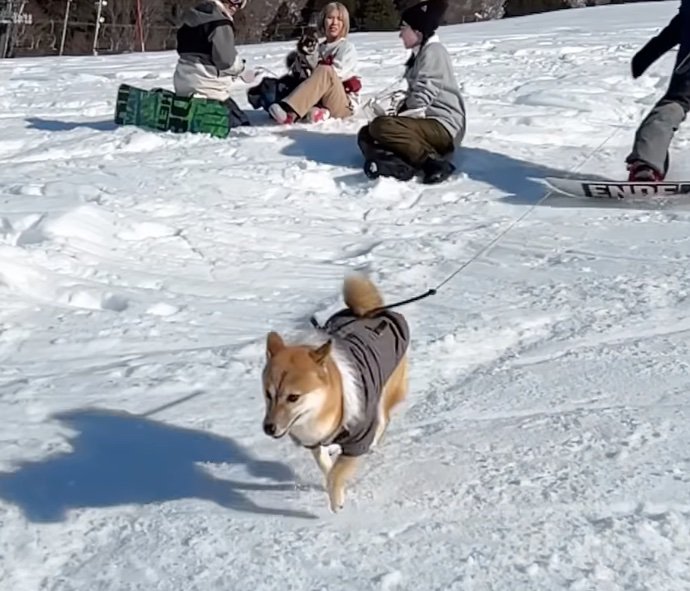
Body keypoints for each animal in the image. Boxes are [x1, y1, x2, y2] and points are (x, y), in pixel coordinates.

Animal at [260, 276, 406, 512]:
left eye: (293, 397)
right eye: (268, 394)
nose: (268, 428)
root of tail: (371, 312)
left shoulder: (358, 438)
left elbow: (337, 472)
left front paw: (336, 499)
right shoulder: (313, 440)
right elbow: (325, 463)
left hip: (385, 390)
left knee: (384, 418)